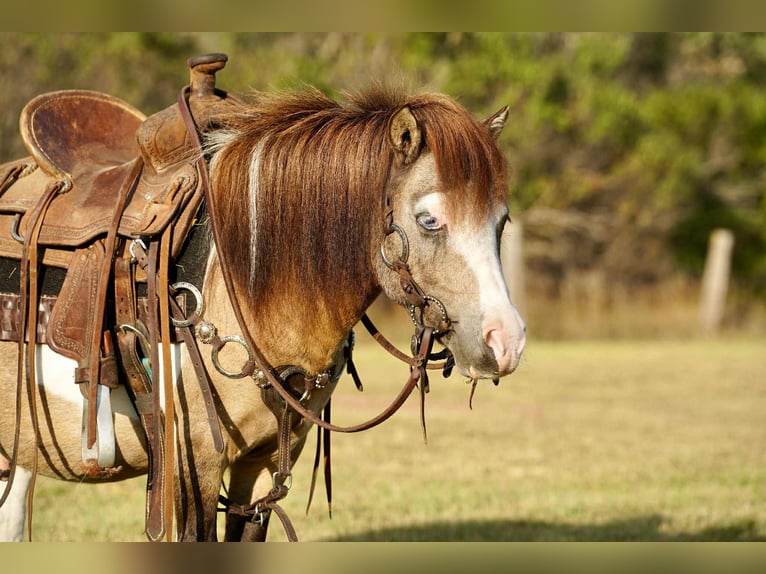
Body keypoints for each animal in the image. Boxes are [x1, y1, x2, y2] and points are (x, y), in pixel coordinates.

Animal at [0, 64, 526, 541]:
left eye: (501, 221)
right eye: (429, 220)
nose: (507, 343)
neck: (247, 279)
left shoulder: (264, 465)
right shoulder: (192, 466)